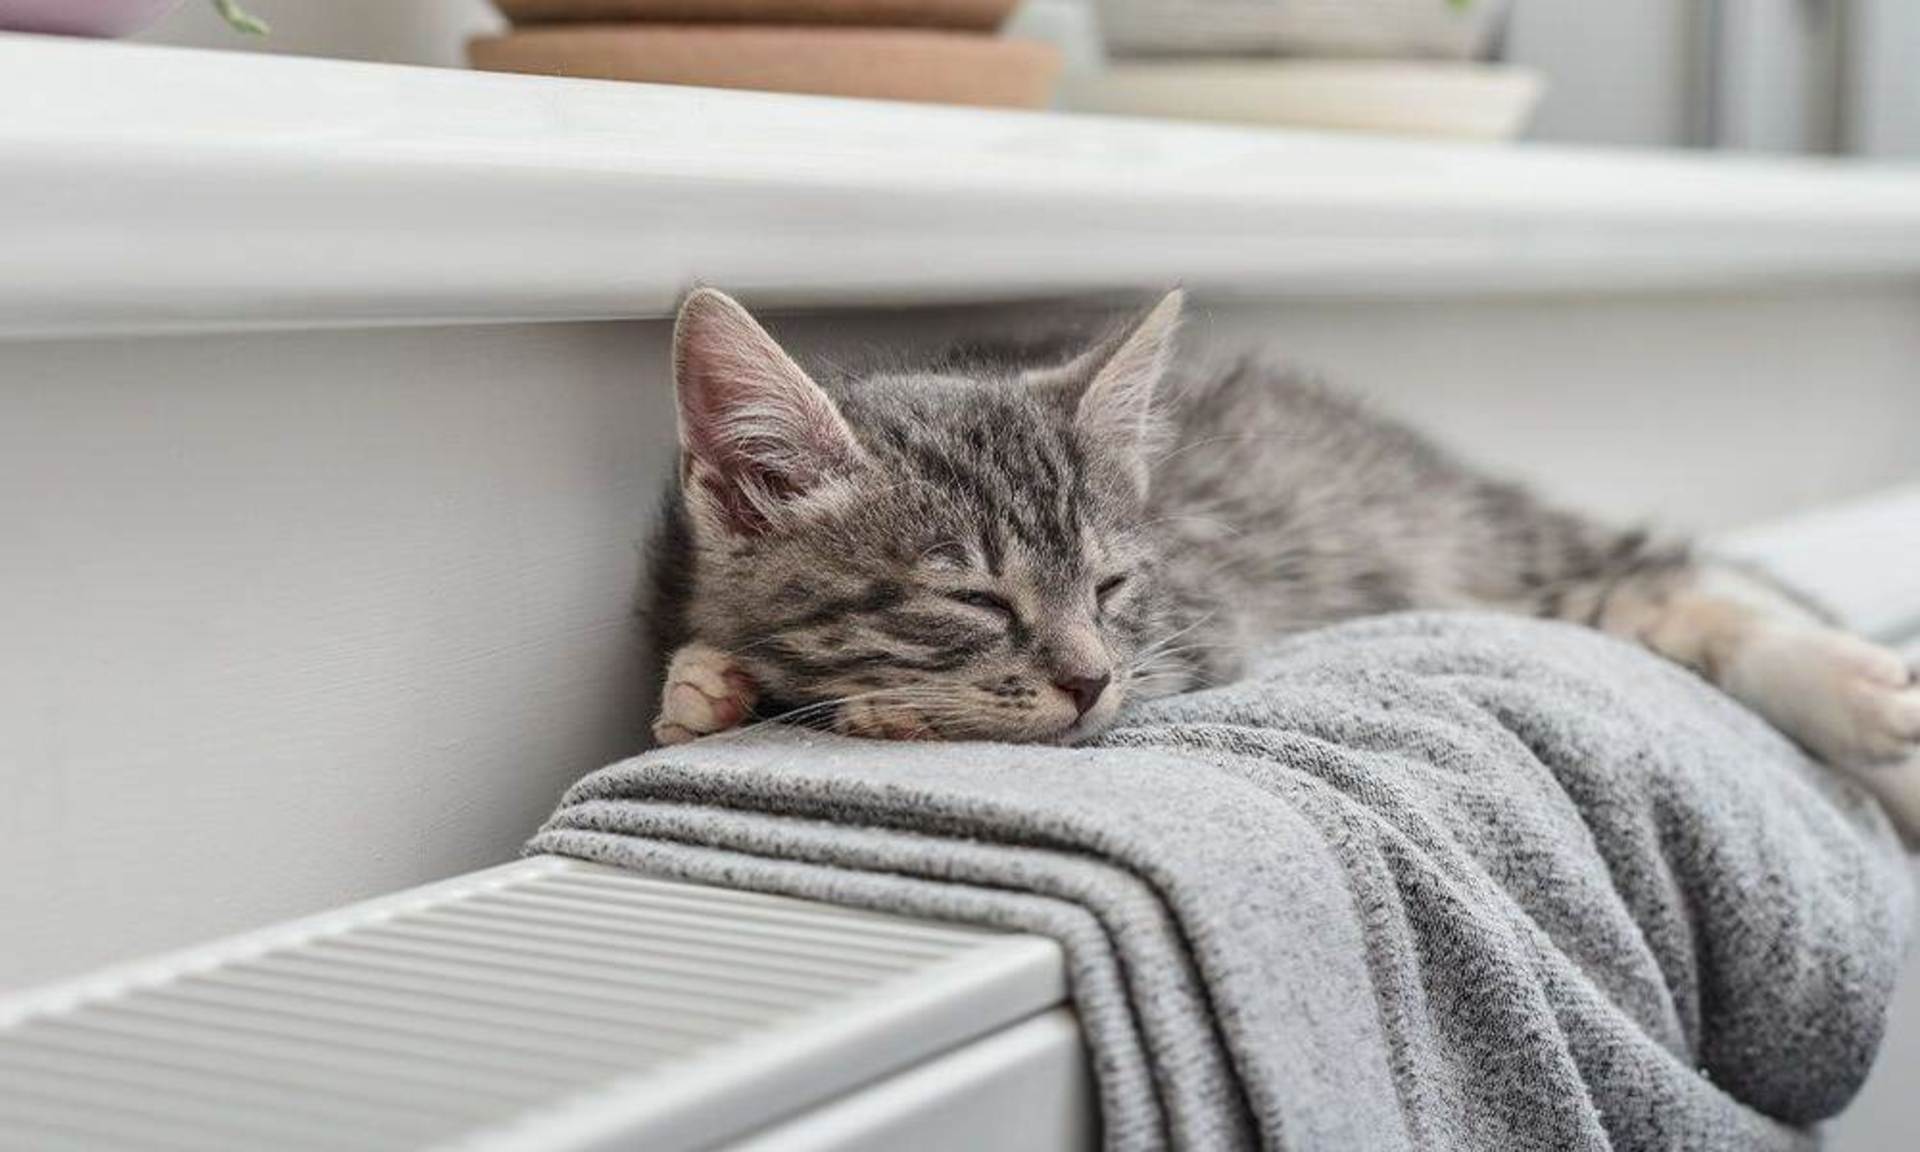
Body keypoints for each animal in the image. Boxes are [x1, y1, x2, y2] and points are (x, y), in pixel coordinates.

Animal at [648, 288, 1920, 829]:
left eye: (1110, 586)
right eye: (971, 597)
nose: (1087, 680)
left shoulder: (1202, 615)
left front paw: (895, 709)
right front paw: (710, 683)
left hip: (1467, 539)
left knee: (1677, 579)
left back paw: (1860, 693)